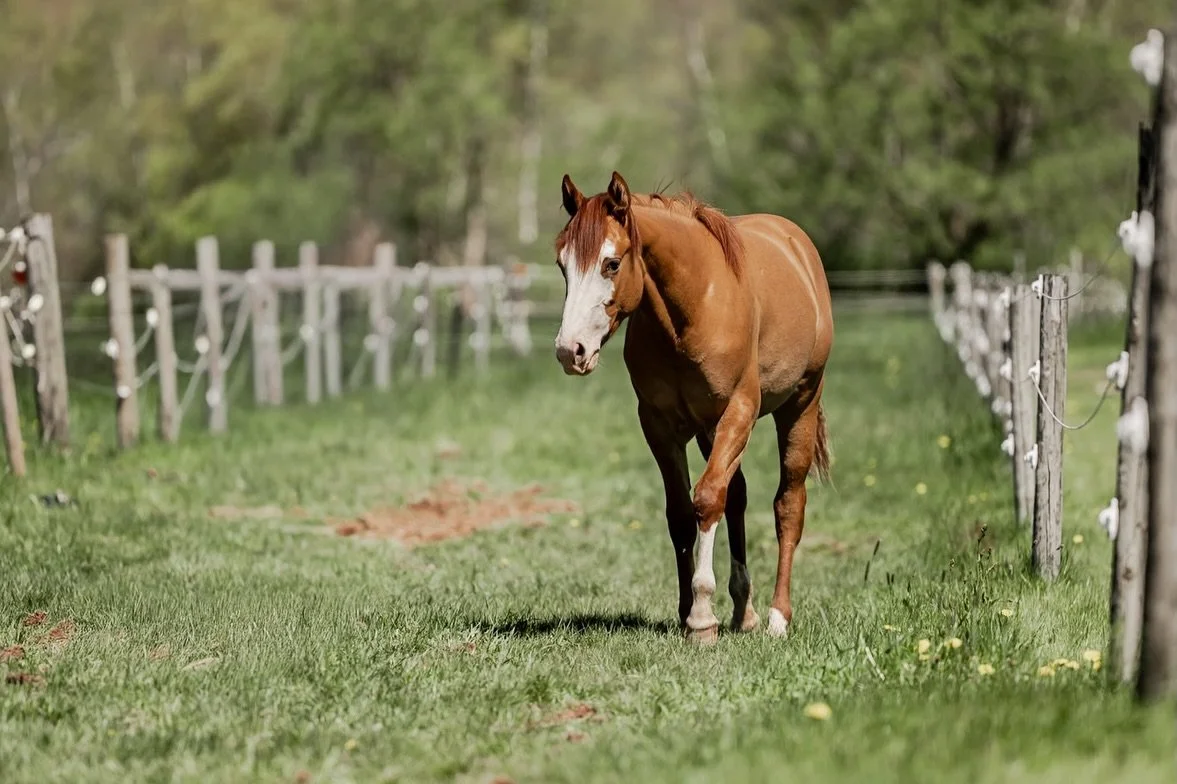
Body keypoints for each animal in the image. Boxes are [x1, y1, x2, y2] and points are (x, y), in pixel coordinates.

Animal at [552, 171, 834, 644]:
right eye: (562, 265)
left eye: (612, 263)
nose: (569, 351)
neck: (694, 306)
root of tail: (797, 245)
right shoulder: (660, 426)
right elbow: (682, 513)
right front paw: (688, 613)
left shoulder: (738, 412)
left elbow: (705, 500)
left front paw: (702, 617)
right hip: (708, 431)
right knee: (736, 496)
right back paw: (744, 612)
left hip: (799, 406)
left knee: (787, 506)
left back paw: (777, 618)